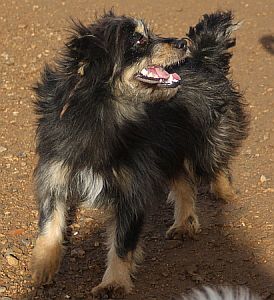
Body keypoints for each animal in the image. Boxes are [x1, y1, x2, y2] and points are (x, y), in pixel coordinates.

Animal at [31, 11, 249, 298]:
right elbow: (49, 225)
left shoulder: (132, 188)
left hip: (206, 140)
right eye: (138, 40)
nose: (182, 42)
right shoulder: (56, 173)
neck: (104, 112)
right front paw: (43, 266)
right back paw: (184, 222)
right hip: (167, 150)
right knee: (184, 181)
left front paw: (114, 282)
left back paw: (224, 192)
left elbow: (122, 242)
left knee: (215, 163)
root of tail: (204, 57)